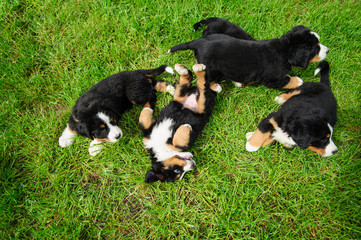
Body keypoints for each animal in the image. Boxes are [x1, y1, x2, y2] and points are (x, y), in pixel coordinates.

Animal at [167, 25, 328, 89]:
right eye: (316, 48)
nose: (327, 50)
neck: (283, 50)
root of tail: (199, 41)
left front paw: (240, 83)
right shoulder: (271, 79)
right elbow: (287, 80)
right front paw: (298, 80)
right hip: (210, 68)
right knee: (205, 78)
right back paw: (216, 86)